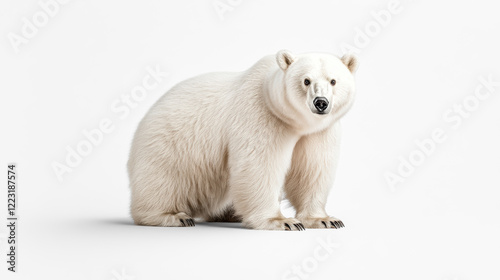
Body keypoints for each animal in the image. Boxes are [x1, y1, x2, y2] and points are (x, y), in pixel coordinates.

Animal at [127, 49, 358, 230]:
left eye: (333, 81)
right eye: (306, 81)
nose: (321, 103)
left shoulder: (319, 133)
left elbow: (312, 170)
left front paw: (325, 220)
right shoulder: (261, 115)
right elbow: (259, 165)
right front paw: (282, 221)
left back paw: (229, 214)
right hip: (169, 144)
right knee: (164, 179)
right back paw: (172, 216)